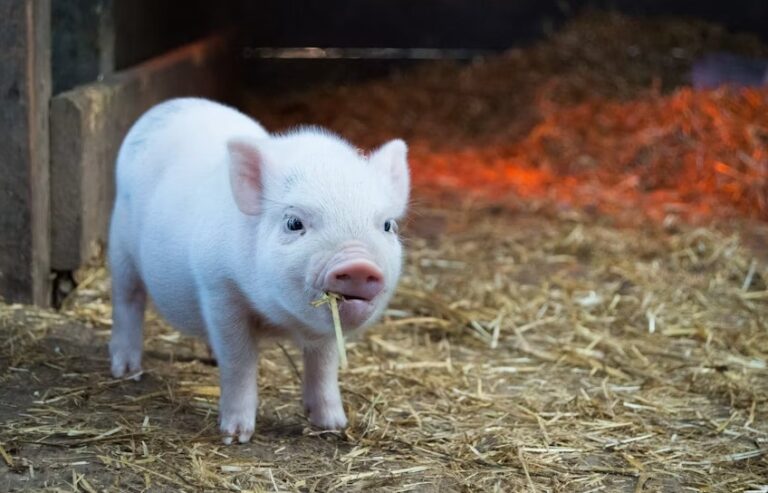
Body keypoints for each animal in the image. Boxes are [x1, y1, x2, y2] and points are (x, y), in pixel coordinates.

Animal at [108, 98, 409, 444]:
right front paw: (235, 436)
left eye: (387, 225)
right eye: (294, 223)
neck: (280, 320)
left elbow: (323, 365)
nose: (358, 265)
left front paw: (333, 425)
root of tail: (168, 106)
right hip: (120, 245)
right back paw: (126, 371)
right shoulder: (219, 289)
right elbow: (239, 362)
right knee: (127, 300)